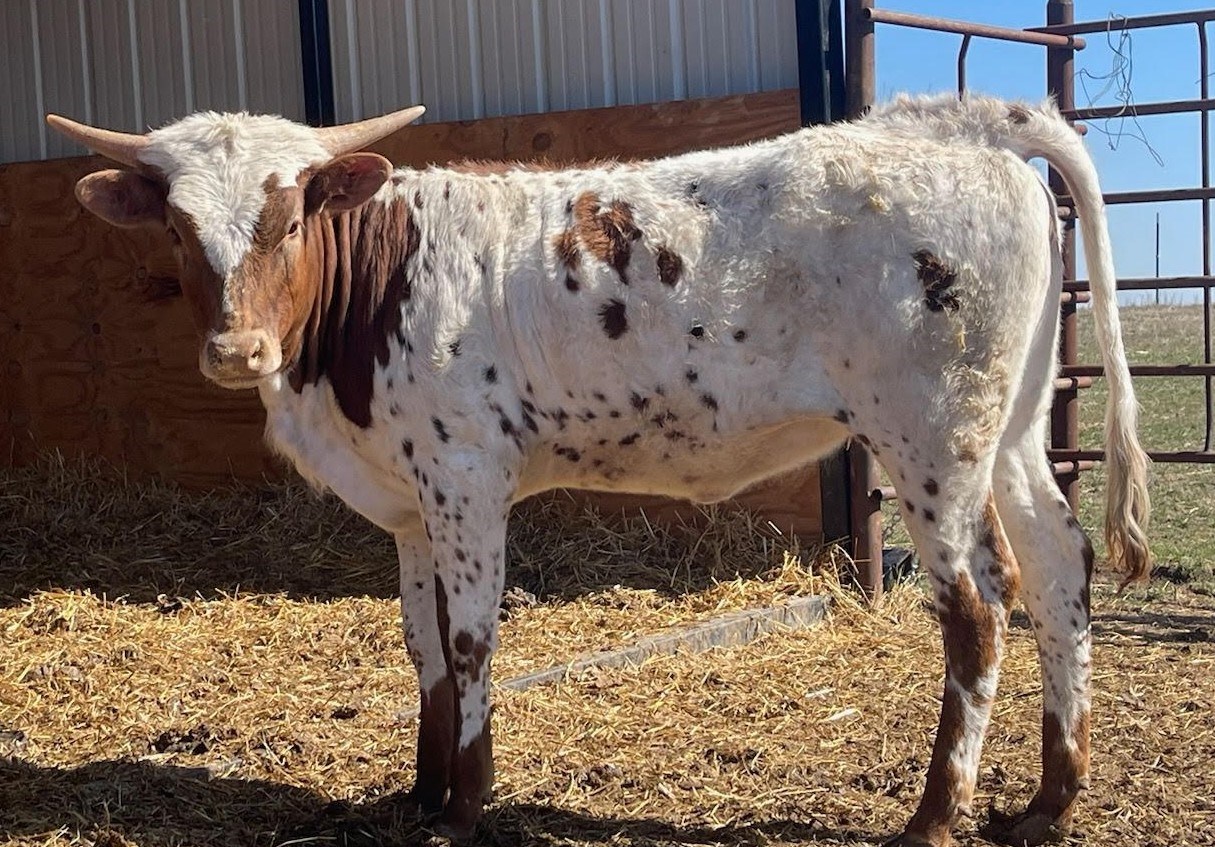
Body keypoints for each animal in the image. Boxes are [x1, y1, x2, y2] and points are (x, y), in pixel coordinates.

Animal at [48, 94, 1149, 847]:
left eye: (288, 218)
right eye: (178, 229)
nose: (237, 351)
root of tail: (964, 125)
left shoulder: (466, 474)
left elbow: (471, 640)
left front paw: (468, 803)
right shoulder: (408, 506)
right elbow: (422, 646)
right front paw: (420, 789)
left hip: (928, 435)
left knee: (977, 609)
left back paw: (933, 816)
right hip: (1010, 429)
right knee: (1059, 567)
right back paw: (1049, 799)